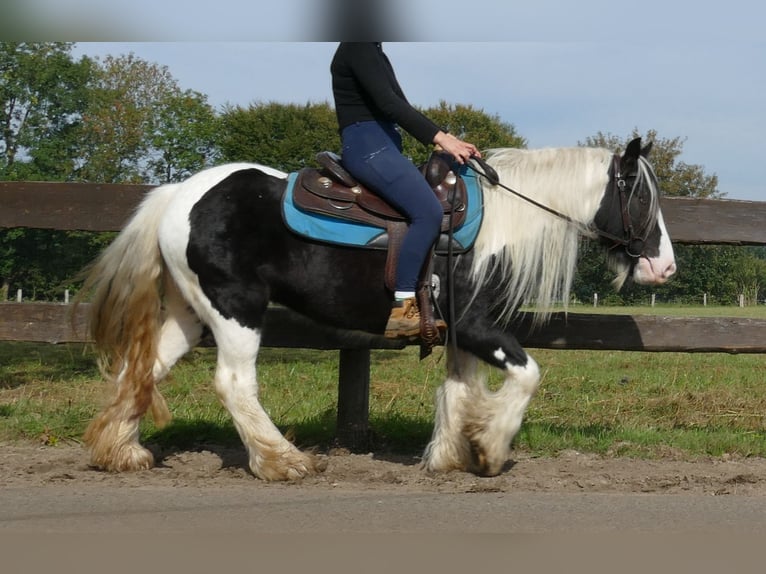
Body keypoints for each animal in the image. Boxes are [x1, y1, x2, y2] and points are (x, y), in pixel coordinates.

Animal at [79, 136, 680, 482]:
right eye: (640, 196)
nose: (665, 268)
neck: (501, 222)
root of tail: (178, 195)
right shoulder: (475, 324)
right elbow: (527, 374)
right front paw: (490, 448)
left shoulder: (461, 332)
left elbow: (460, 387)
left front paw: (450, 455)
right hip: (235, 308)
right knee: (233, 383)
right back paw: (284, 461)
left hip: (190, 310)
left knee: (145, 369)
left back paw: (121, 453)